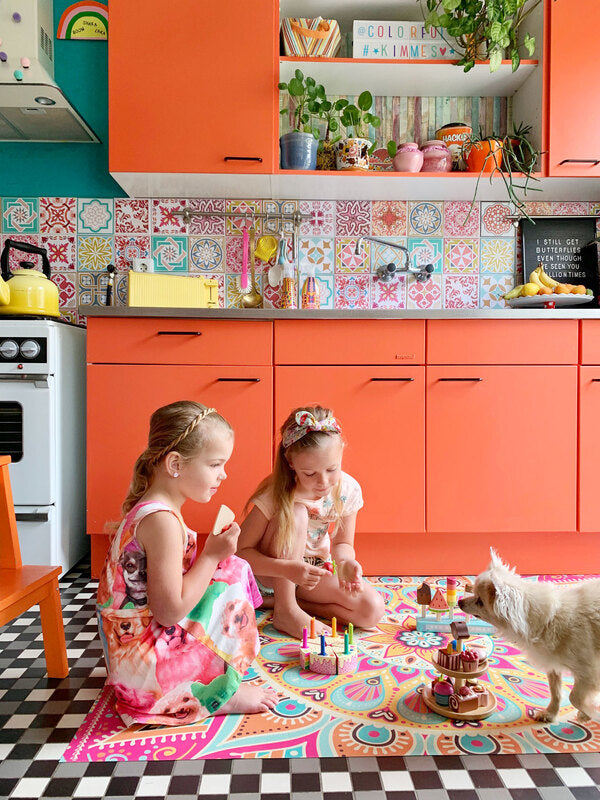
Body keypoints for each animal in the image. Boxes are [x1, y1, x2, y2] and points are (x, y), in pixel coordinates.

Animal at [458, 552, 596, 724]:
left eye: (480, 601)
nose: (459, 602)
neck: (549, 621)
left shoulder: (588, 672)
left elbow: (574, 697)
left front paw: (589, 712)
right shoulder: (552, 664)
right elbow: (556, 692)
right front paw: (550, 714)